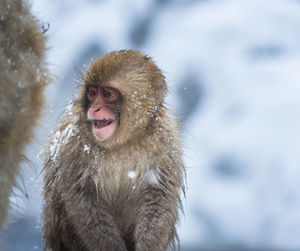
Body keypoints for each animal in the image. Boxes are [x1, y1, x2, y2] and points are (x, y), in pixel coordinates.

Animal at [42, 49, 183, 251]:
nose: (95, 108)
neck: (122, 142)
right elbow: (84, 204)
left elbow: (158, 200)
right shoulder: (72, 146)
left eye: (107, 93)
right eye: (92, 93)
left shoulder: (167, 145)